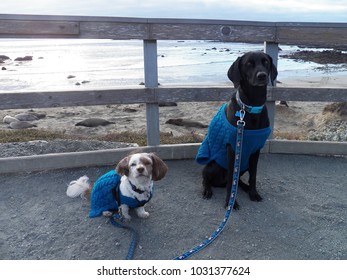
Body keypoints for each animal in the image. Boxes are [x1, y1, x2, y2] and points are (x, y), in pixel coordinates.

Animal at [197, 50, 278, 208]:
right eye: (249, 64)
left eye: (265, 62)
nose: (262, 76)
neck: (251, 107)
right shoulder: (233, 148)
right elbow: (231, 180)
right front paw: (230, 202)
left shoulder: (255, 150)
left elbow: (253, 175)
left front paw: (253, 193)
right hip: (213, 166)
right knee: (207, 179)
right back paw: (207, 190)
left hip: (244, 164)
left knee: (238, 180)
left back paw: (245, 187)